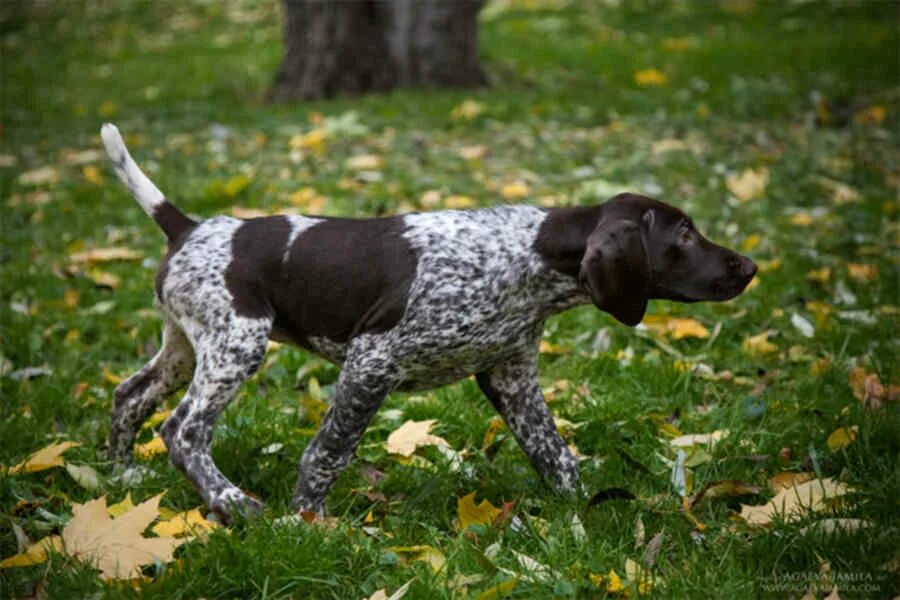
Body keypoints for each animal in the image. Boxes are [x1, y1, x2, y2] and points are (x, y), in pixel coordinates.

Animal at [102, 123, 756, 520]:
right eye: (684, 235)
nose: (750, 266)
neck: (525, 255)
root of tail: (190, 227)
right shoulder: (372, 363)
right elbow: (328, 451)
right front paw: (305, 521)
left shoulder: (510, 374)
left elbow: (553, 453)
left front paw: (578, 515)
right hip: (237, 342)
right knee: (184, 430)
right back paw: (232, 501)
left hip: (187, 344)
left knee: (129, 394)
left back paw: (119, 478)